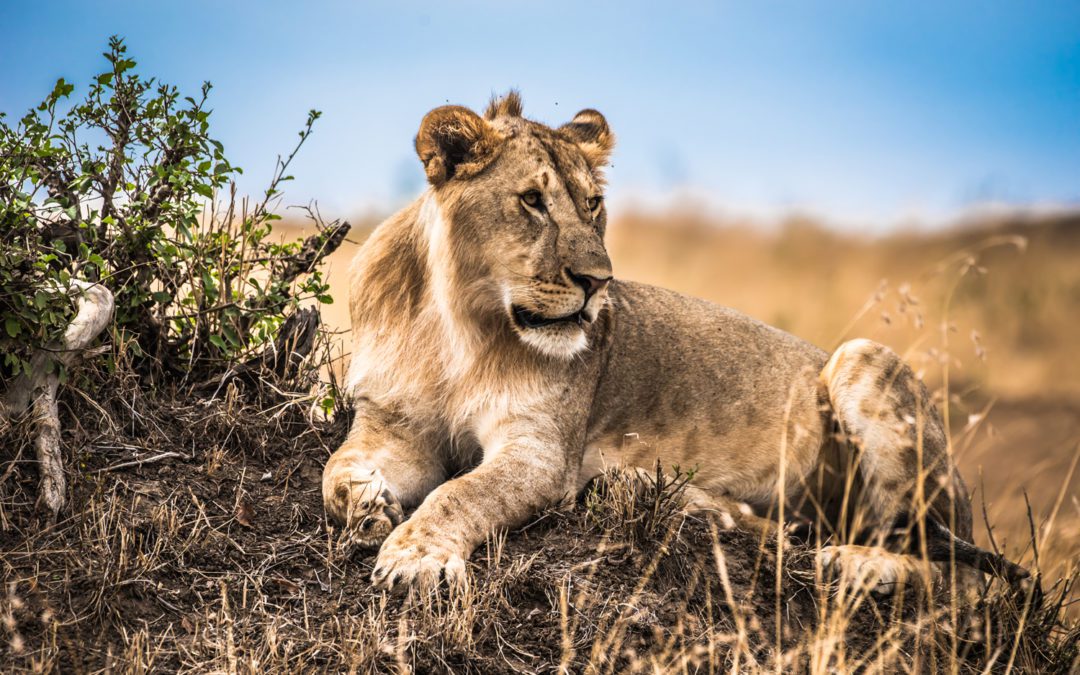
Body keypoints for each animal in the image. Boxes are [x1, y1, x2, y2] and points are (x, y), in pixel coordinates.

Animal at [317, 90, 1019, 587]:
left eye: (593, 204)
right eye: (532, 201)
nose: (598, 282)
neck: (461, 326)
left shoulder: (541, 453)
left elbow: (460, 493)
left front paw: (415, 556)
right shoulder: (393, 425)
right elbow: (336, 472)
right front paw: (370, 506)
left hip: (862, 361)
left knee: (950, 575)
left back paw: (852, 563)